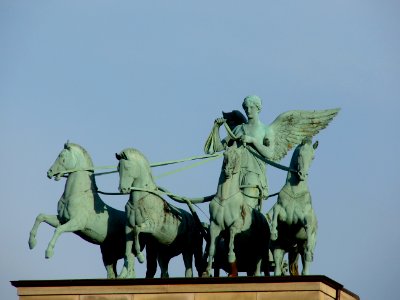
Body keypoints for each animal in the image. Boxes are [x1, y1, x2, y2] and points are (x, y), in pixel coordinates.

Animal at [28, 142, 147, 278]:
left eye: (62, 156)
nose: (49, 172)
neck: (76, 195)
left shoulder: (77, 223)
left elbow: (59, 230)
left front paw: (48, 252)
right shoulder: (62, 219)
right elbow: (41, 216)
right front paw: (31, 243)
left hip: (129, 252)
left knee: (130, 267)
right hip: (109, 256)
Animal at [115, 148, 203, 278]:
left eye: (127, 167)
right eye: (117, 168)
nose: (122, 189)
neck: (140, 200)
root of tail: (193, 219)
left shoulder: (152, 227)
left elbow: (137, 230)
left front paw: (140, 257)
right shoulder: (128, 227)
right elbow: (128, 250)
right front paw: (125, 273)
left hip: (188, 249)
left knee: (189, 269)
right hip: (163, 254)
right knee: (165, 271)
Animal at [205, 144, 270, 278]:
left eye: (237, 157)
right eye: (225, 155)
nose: (227, 171)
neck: (225, 198)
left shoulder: (236, 225)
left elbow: (231, 239)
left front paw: (231, 259)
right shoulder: (214, 226)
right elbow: (212, 249)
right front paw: (207, 271)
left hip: (262, 246)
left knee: (262, 262)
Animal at [268, 137, 318, 276]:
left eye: (313, 157)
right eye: (300, 154)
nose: (302, 175)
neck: (295, 192)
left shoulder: (304, 217)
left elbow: (308, 224)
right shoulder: (281, 211)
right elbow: (275, 213)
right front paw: (273, 232)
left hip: (300, 248)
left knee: (306, 263)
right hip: (279, 249)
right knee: (277, 267)